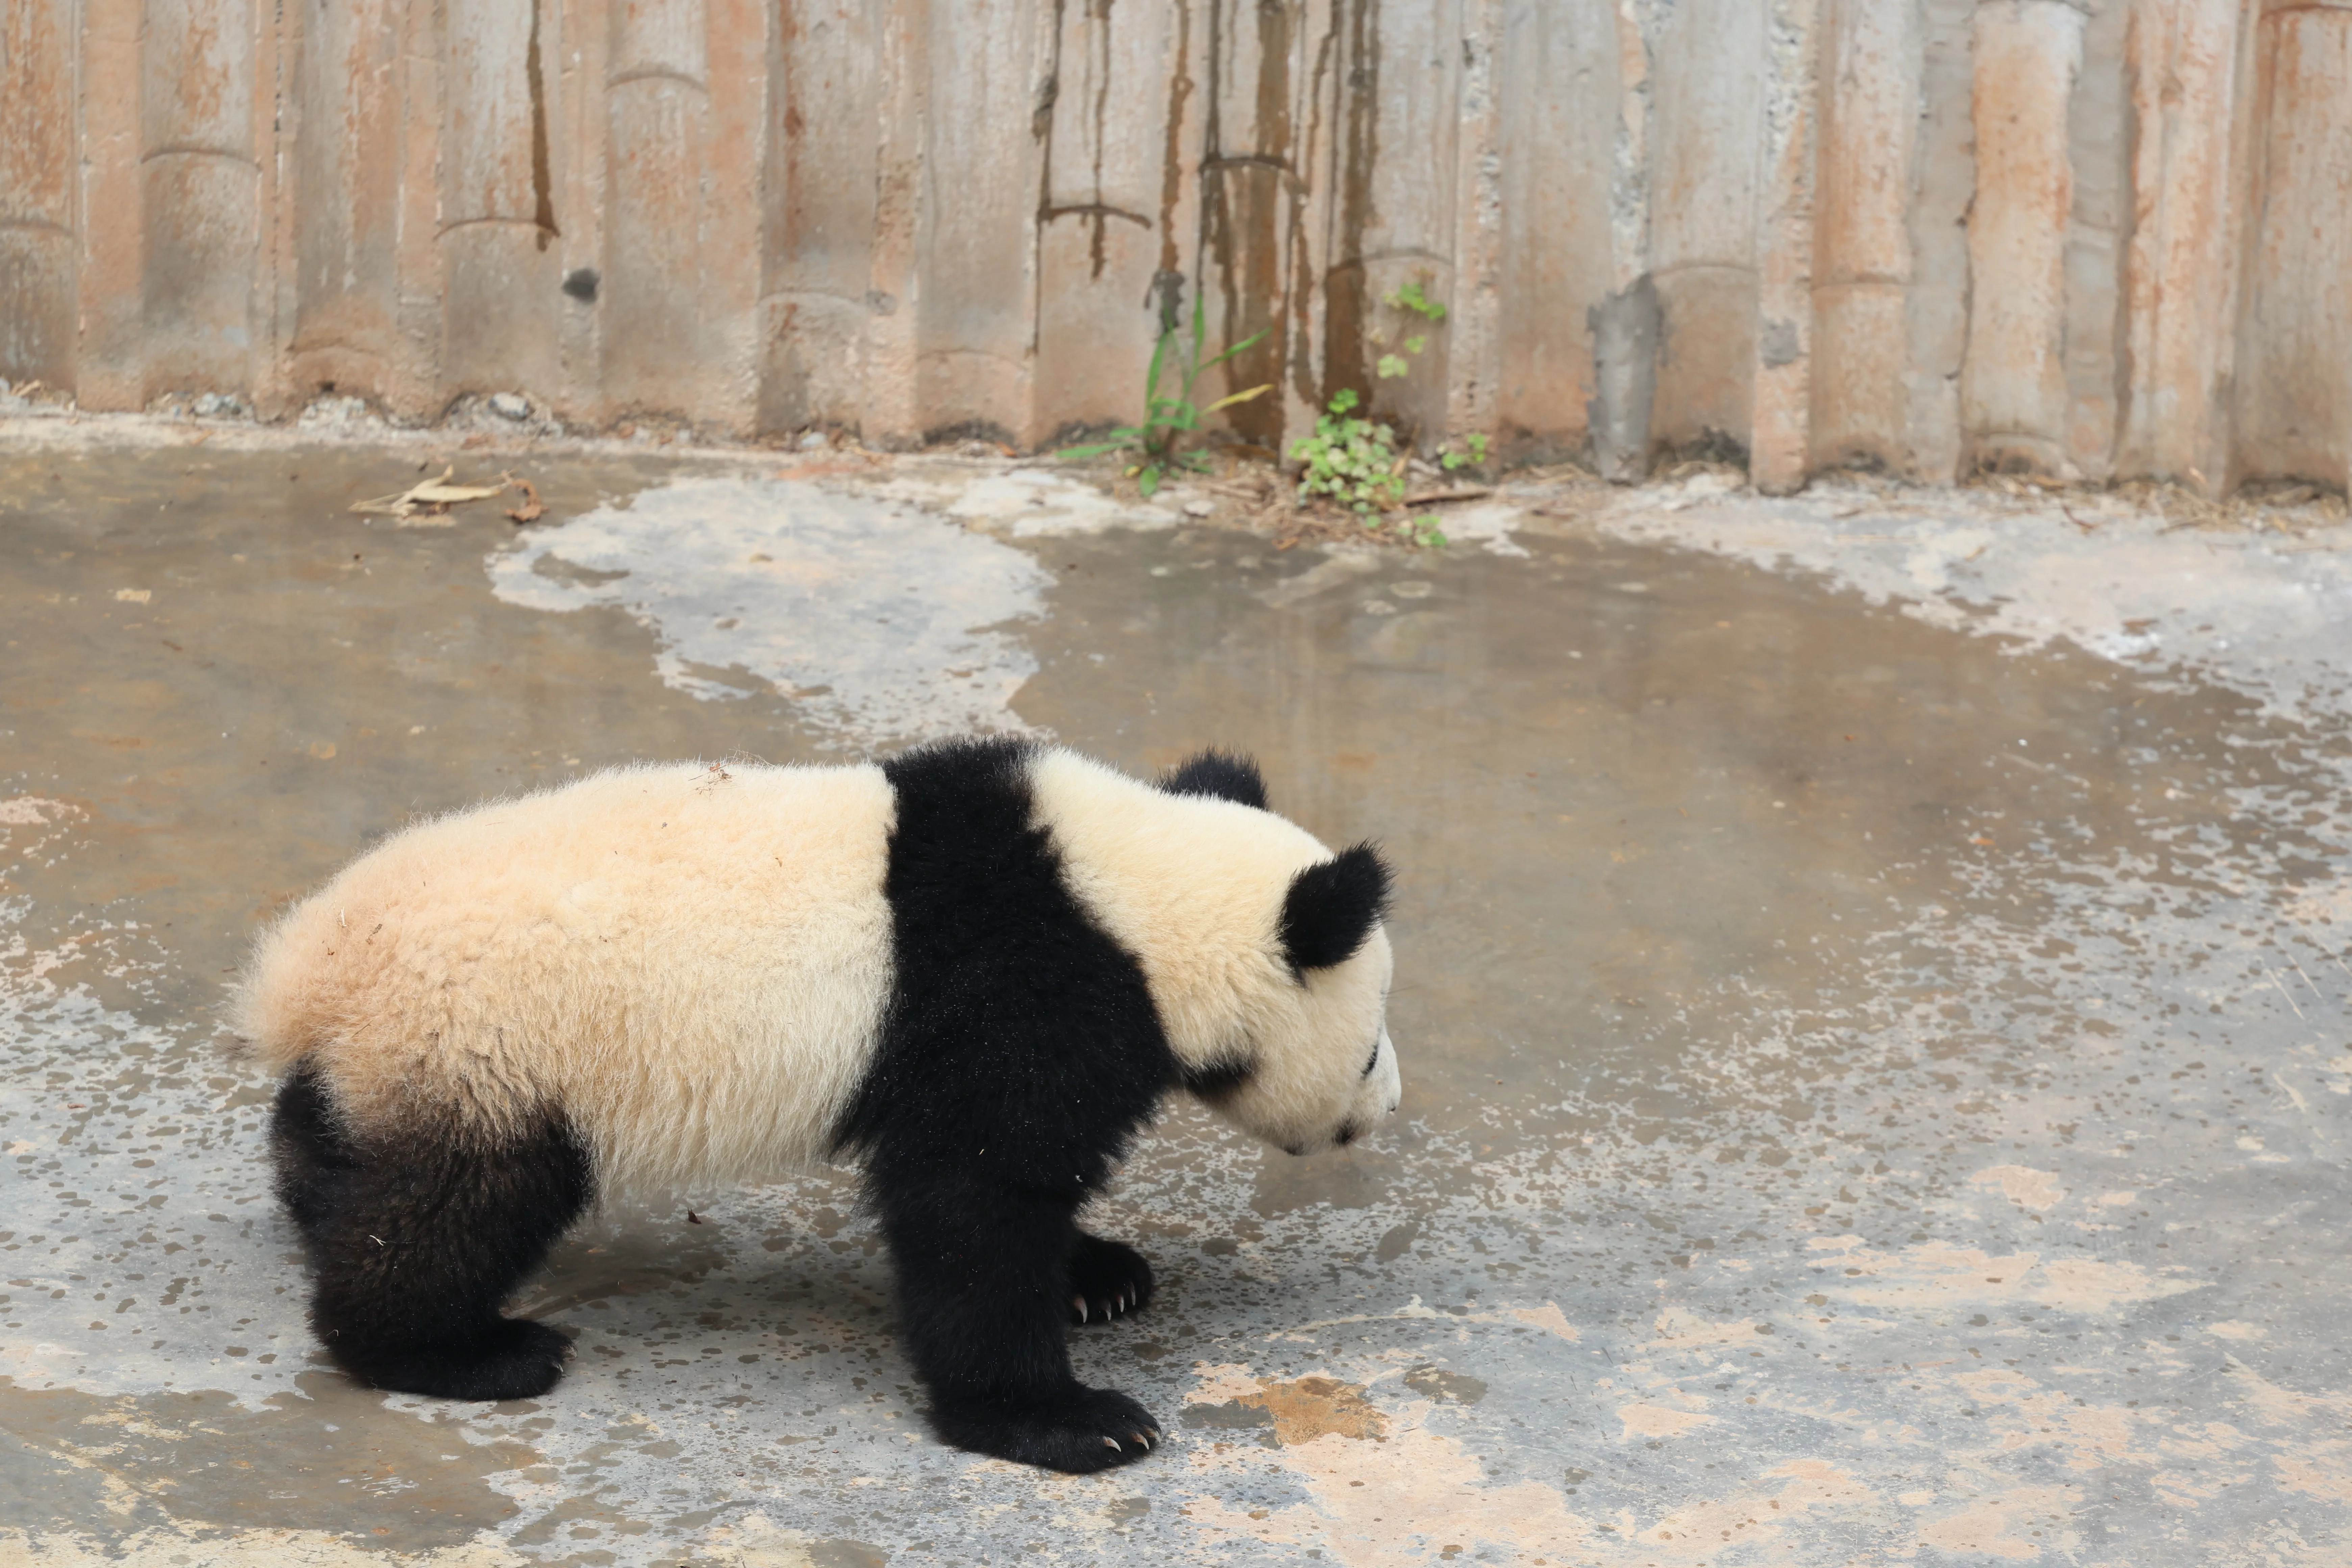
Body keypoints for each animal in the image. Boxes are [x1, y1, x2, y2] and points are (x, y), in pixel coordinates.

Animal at [233, 738, 1400, 1473]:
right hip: (496, 1047)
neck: (1135, 905)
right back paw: (461, 1352)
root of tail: (307, 971)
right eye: (1374, 1032)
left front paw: (1100, 1278)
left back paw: (317, 1195)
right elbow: (975, 1206)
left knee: (341, 1141)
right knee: (455, 1210)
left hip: (410, 1056)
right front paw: (1072, 1422)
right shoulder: (1015, 1001)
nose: (1386, 1104)